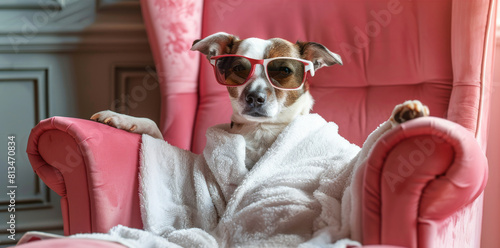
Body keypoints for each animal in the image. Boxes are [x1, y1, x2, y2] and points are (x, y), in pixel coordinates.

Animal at [91, 31, 430, 169]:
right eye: (237, 69)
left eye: (283, 71)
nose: (254, 97)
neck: (262, 133)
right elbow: (157, 134)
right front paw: (125, 119)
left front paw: (406, 113)